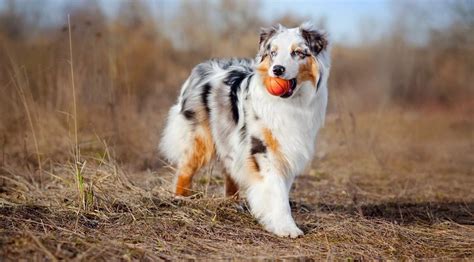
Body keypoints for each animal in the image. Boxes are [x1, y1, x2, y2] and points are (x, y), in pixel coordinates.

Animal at [159, 22, 330, 237]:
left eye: (297, 52)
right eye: (273, 53)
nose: (277, 70)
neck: (290, 103)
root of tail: (202, 67)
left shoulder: (286, 150)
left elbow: (281, 189)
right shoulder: (262, 149)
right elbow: (277, 192)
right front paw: (286, 227)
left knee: (229, 170)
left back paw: (233, 203)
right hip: (200, 138)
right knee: (185, 168)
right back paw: (180, 198)